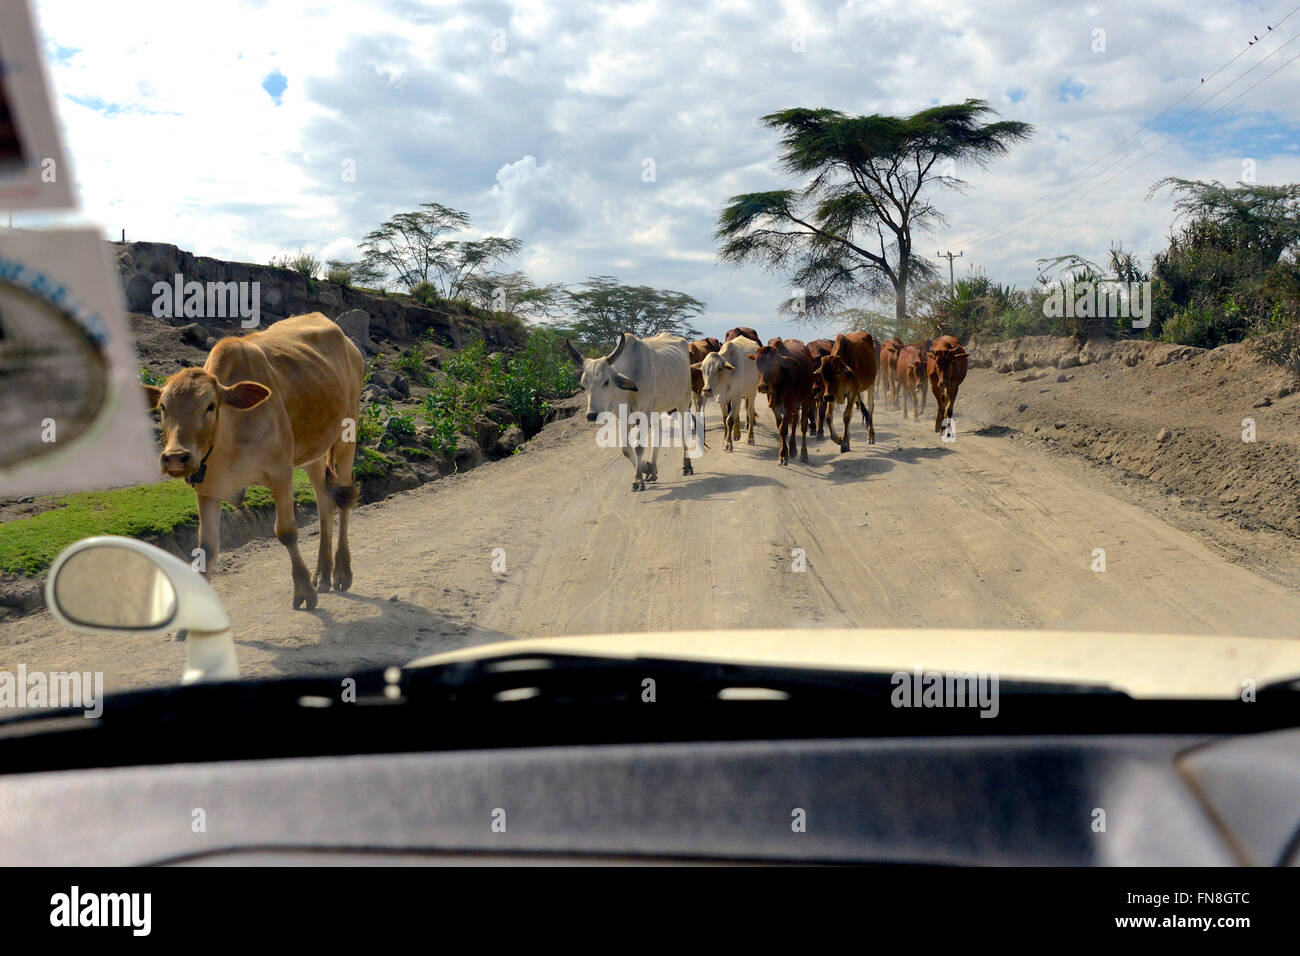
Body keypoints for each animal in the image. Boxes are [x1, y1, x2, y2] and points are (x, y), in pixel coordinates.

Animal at [143, 314, 366, 613]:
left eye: (210, 406)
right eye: (163, 407)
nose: (176, 456)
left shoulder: (280, 473)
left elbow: (286, 531)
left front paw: (303, 590)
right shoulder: (207, 489)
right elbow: (207, 549)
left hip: (346, 435)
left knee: (342, 500)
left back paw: (341, 572)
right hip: (313, 452)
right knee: (324, 502)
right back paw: (323, 573)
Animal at [561, 332, 696, 494]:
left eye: (606, 382)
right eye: (583, 386)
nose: (592, 415)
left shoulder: (644, 413)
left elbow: (638, 447)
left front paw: (637, 480)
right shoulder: (623, 418)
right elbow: (625, 449)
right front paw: (645, 468)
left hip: (683, 403)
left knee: (684, 432)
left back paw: (687, 465)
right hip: (656, 410)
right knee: (657, 435)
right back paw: (653, 470)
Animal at [748, 340, 806, 468]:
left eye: (774, 365)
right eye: (757, 365)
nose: (763, 387)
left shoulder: (788, 406)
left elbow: (783, 429)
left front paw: (784, 456)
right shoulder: (775, 408)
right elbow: (780, 428)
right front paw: (783, 453)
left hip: (806, 399)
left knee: (801, 423)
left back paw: (802, 453)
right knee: (795, 418)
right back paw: (792, 449)